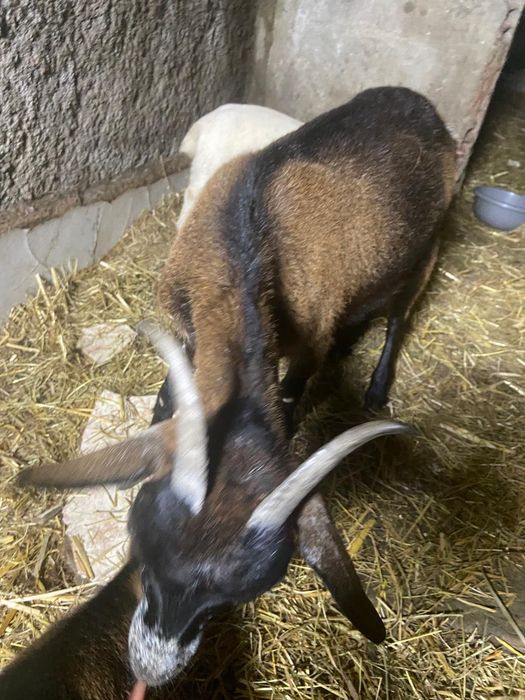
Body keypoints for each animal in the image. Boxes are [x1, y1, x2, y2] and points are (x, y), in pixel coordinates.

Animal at [19, 86, 455, 689]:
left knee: (397, 318)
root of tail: (414, 99)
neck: (245, 238)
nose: (150, 671)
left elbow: (292, 398)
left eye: (227, 602)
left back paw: (375, 387)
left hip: (426, 249)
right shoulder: (188, 334)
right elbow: (171, 398)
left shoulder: (303, 346)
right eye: (142, 558)